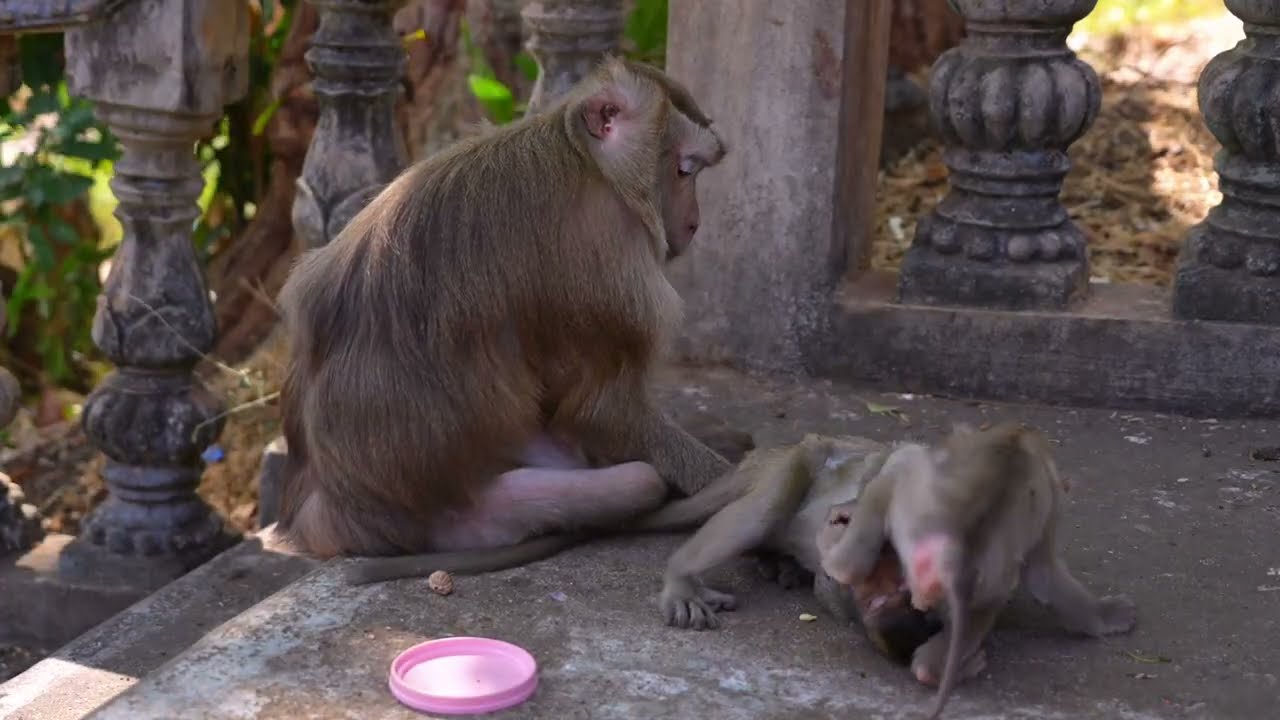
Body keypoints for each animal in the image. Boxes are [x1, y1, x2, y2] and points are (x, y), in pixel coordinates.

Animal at [274, 56, 734, 562]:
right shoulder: (608, 256)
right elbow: (605, 413)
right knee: (634, 479)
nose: (694, 223)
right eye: (684, 171)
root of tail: (332, 512)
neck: (588, 162)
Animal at [817, 422, 1138, 720]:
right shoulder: (1051, 498)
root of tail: (956, 556)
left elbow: (1044, 577)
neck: (1018, 436)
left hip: (916, 517)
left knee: (899, 469)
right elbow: (1045, 576)